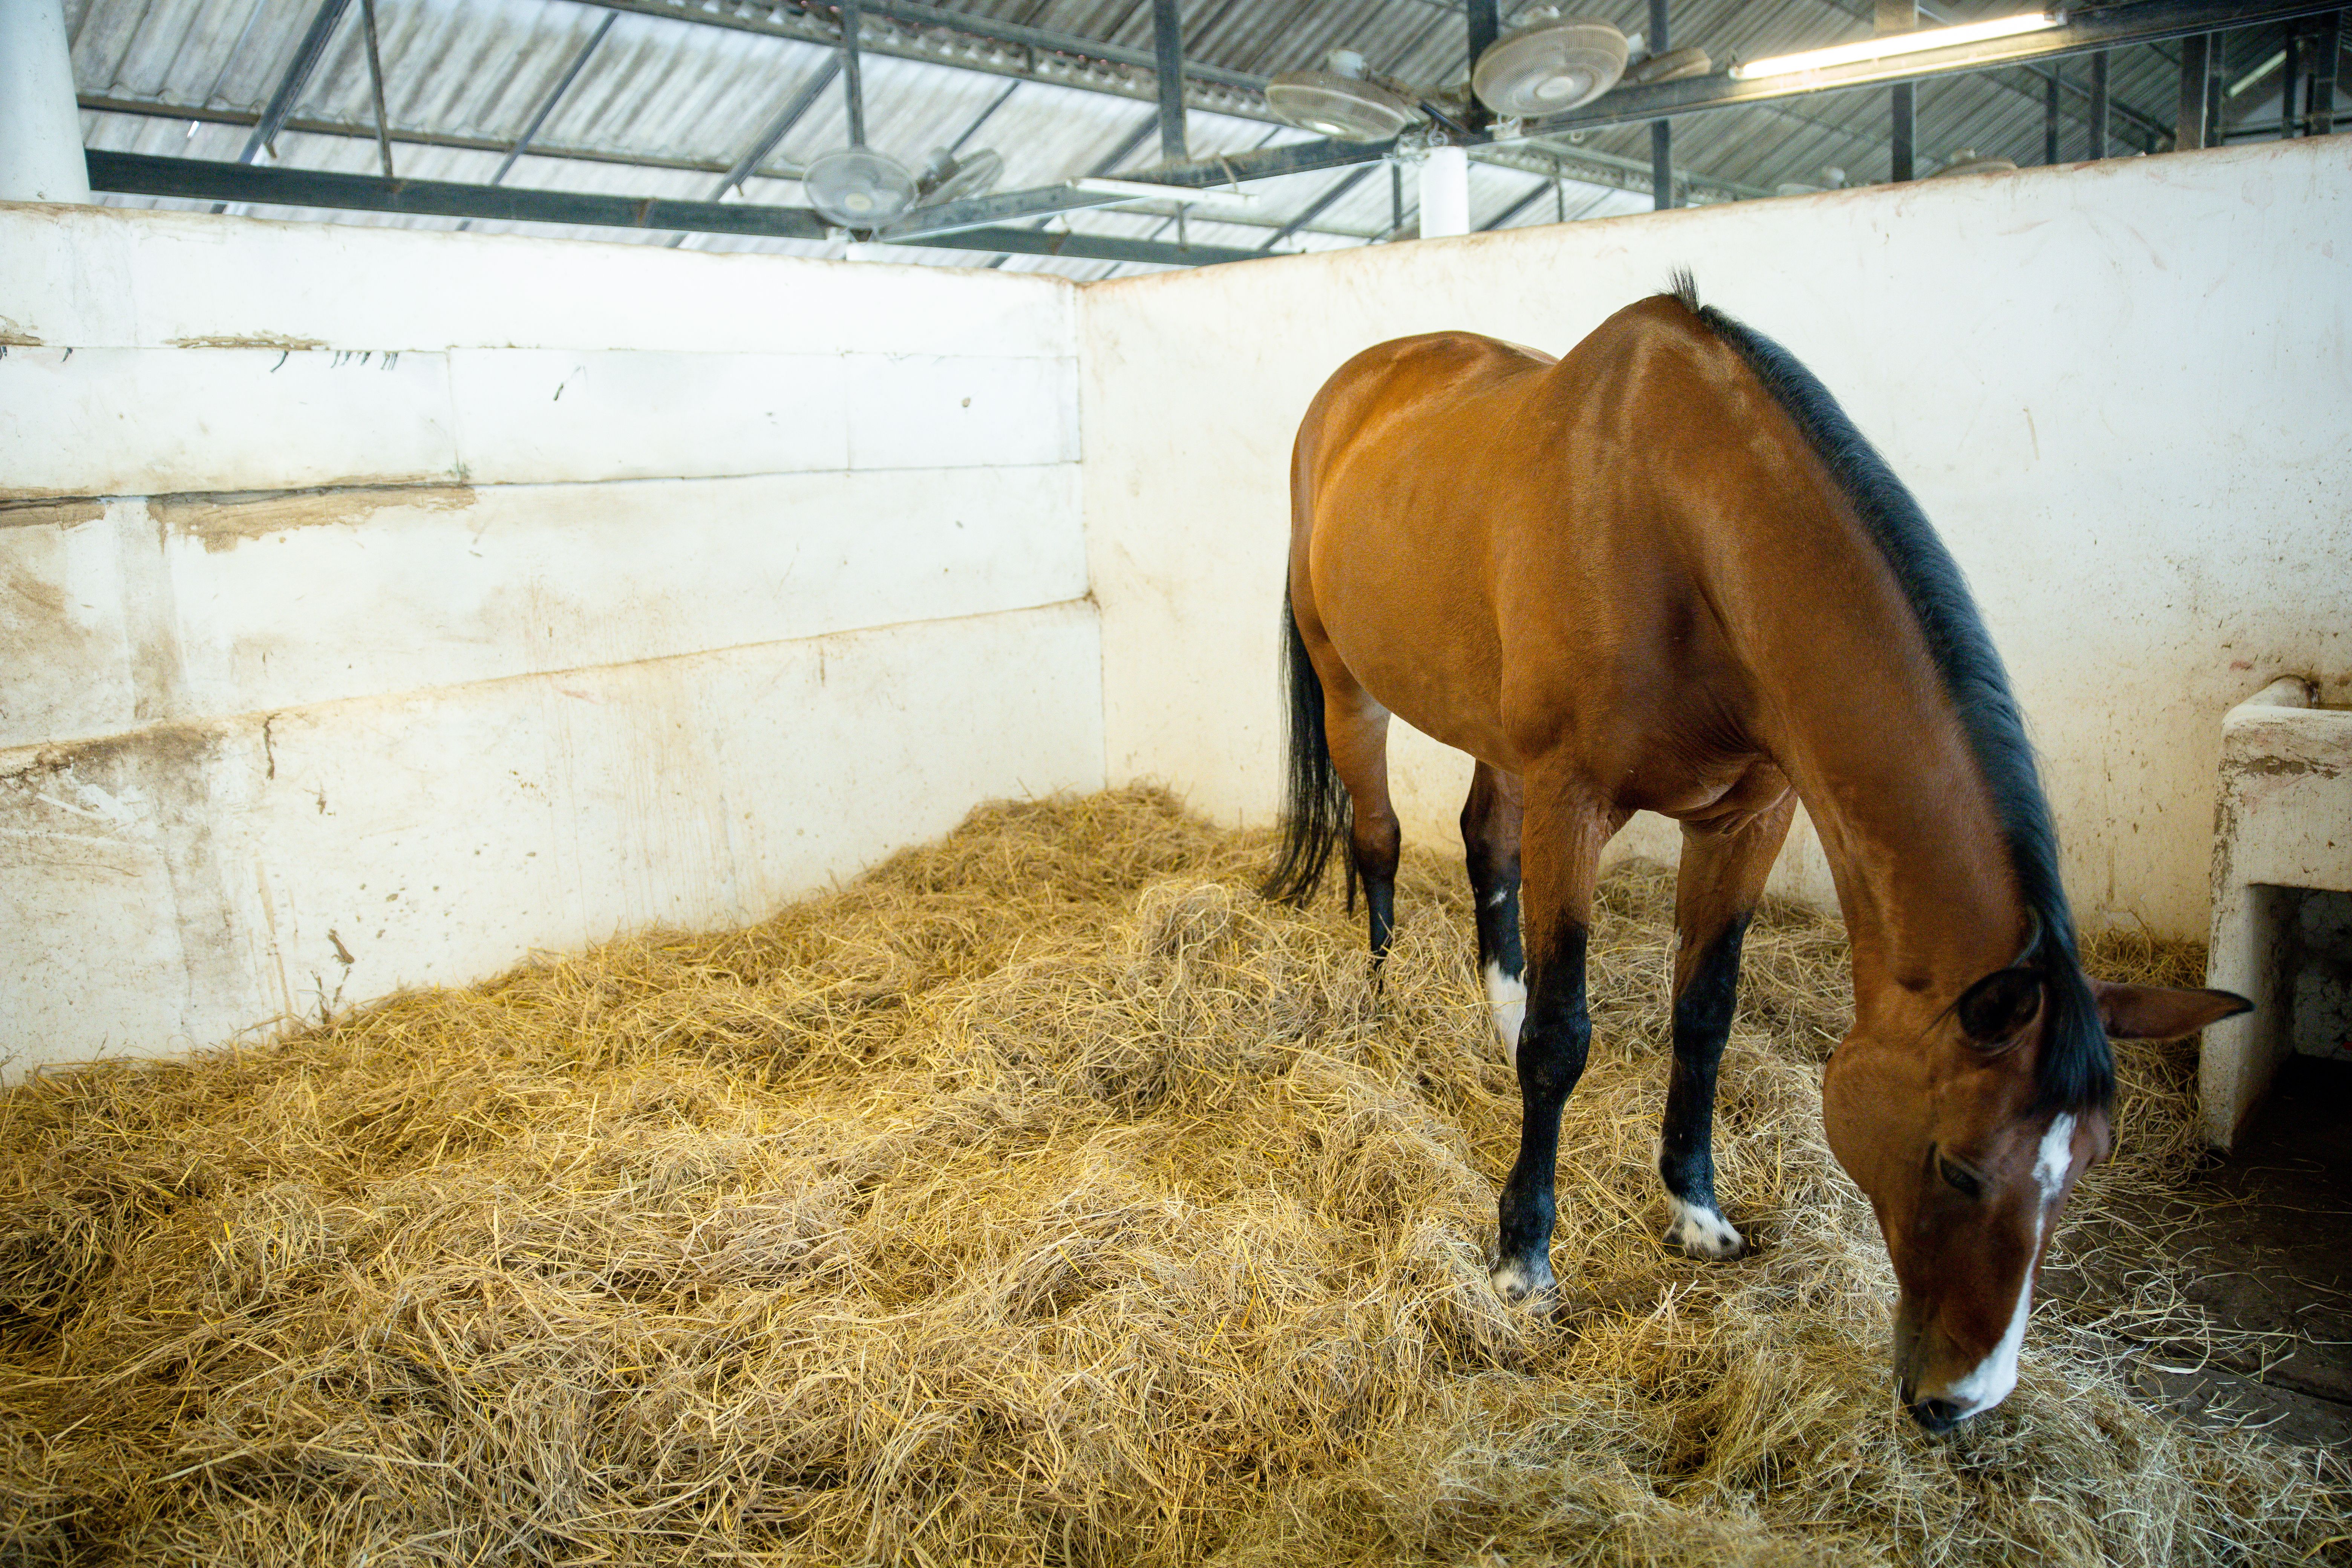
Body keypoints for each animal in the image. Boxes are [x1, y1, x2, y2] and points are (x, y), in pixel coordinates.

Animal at [1262, 277, 2249, 1432]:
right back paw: (1381, 1008)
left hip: (1494, 730)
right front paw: (1523, 1259)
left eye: (2087, 1166)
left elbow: (1705, 1015)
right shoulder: (1573, 801)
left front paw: (1694, 1208)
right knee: (1377, 842)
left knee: (1484, 846)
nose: (1962, 1399)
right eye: (1959, 1168)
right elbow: (1563, 1038)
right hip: (1348, 681)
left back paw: (1491, 1010)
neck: (1681, 531)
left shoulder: (1748, 818)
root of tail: (1357, 385)